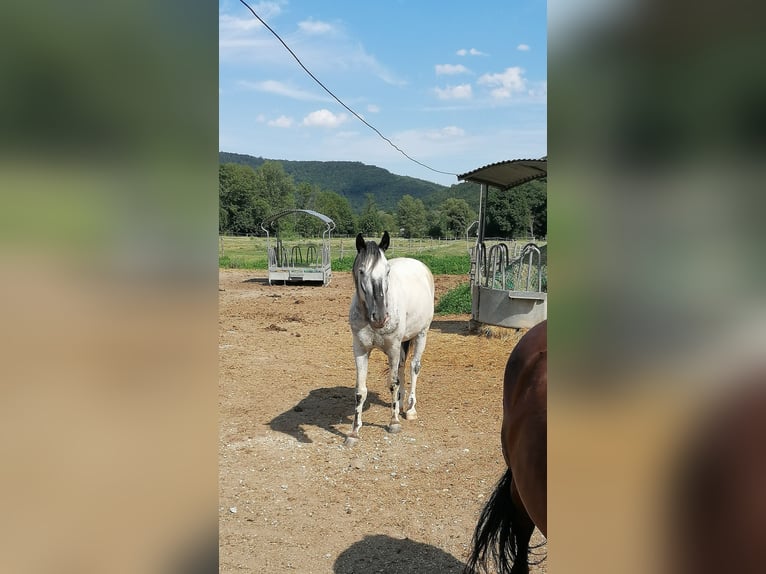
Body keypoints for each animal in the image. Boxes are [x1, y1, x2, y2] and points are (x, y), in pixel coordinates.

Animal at [350, 232, 438, 448]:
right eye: (362, 271)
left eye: (387, 271)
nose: (380, 317)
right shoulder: (360, 350)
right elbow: (360, 390)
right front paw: (354, 432)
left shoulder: (392, 348)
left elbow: (393, 382)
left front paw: (394, 422)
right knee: (402, 368)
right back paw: (400, 403)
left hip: (421, 334)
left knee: (414, 367)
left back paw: (410, 409)